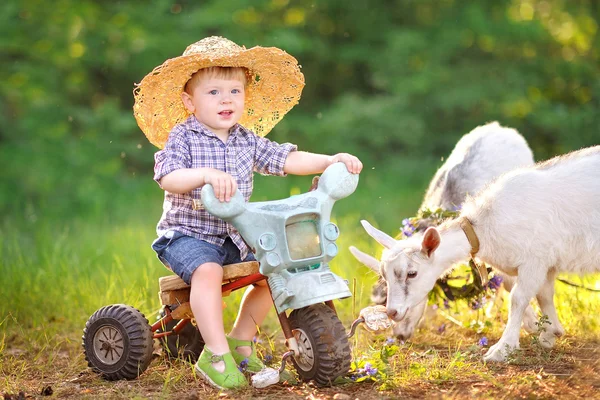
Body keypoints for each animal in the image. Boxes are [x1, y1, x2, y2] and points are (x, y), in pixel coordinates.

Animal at [352, 145, 600, 362]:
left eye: (411, 273)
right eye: (385, 276)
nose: (392, 312)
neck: (483, 226)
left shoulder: (535, 258)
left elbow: (518, 298)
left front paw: (502, 349)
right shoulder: (547, 263)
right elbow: (544, 295)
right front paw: (550, 333)